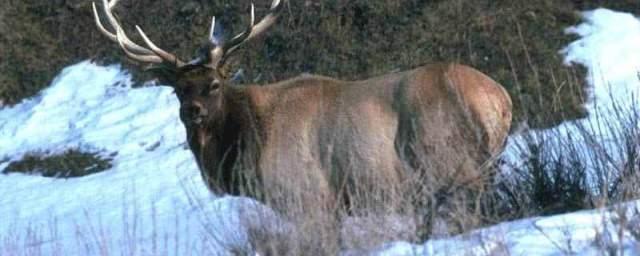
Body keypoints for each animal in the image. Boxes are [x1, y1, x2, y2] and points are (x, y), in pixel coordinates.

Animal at [92, 0, 512, 214]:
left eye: (214, 84)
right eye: (178, 90)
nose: (191, 112)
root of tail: (499, 101)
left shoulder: (307, 198)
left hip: (451, 164)